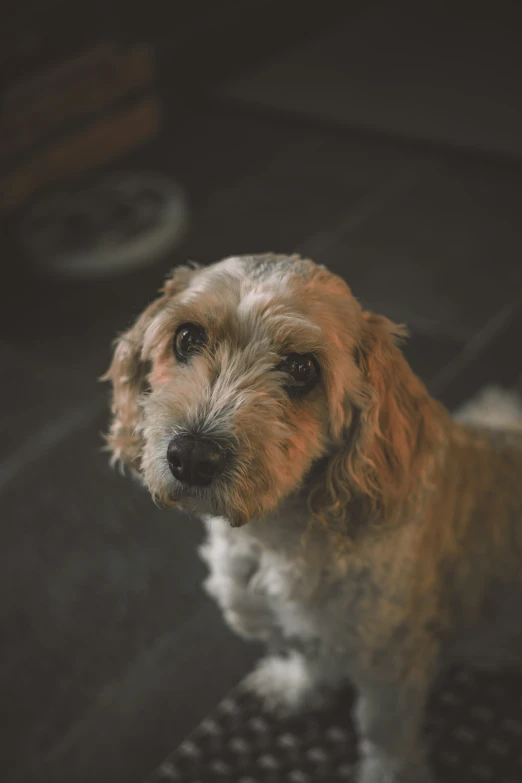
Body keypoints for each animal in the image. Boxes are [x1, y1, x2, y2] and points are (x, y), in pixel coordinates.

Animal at [102, 254, 520, 780]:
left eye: (302, 368)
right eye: (187, 337)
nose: (192, 456)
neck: (272, 542)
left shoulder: (391, 662)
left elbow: (385, 733)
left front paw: (388, 772)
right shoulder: (306, 628)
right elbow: (308, 654)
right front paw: (294, 688)